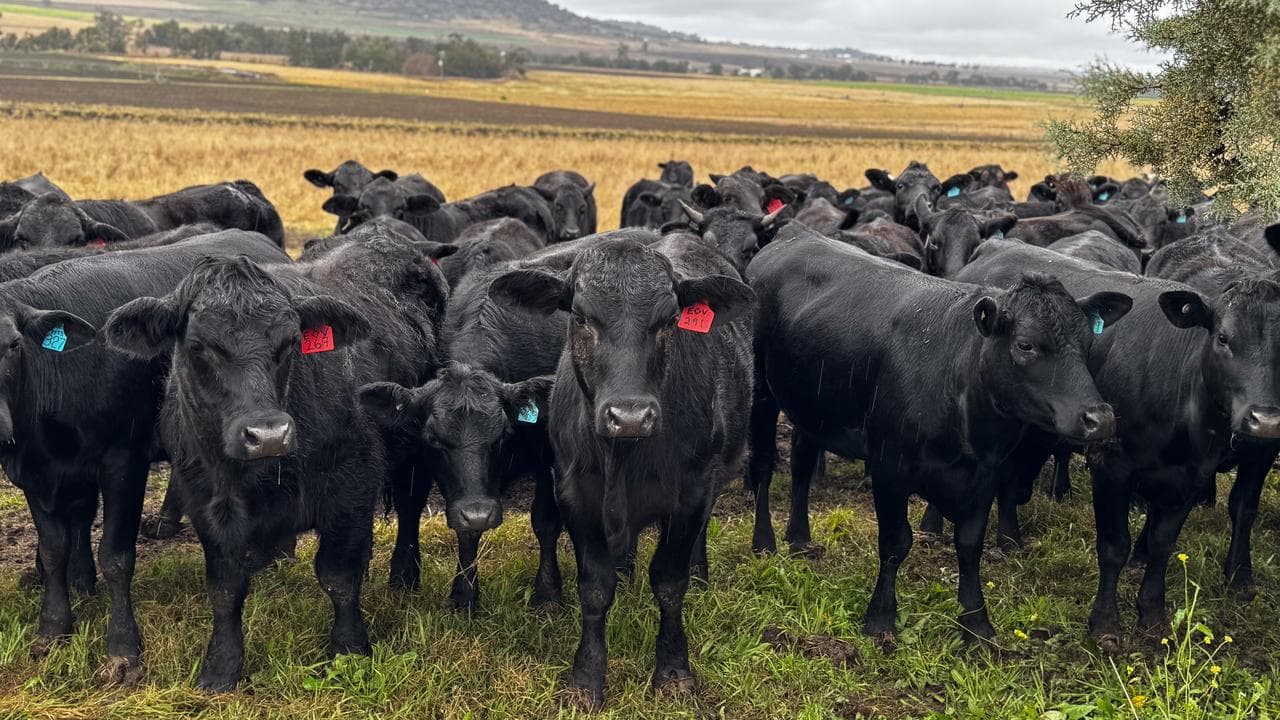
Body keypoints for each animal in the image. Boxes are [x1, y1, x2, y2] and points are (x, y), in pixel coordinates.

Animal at [0, 231, 288, 686]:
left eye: (12, 344)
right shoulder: (34, 472)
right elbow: (53, 548)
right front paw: (53, 630)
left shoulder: (123, 461)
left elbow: (116, 556)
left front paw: (122, 651)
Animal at [486, 234, 754, 710]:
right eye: (580, 316)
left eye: (670, 319)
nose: (629, 417)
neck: (623, 456)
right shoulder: (576, 494)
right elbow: (595, 588)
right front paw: (587, 678)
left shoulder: (691, 494)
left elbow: (670, 582)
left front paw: (673, 671)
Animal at [746, 224, 1129, 645]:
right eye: (1025, 345)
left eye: (1088, 344)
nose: (1101, 418)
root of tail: (796, 234)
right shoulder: (888, 467)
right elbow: (895, 542)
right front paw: (881, 618)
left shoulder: (986, 474)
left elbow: (970, 544)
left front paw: (976, 621)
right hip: (761, 393)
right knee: (763, 466)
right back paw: (764, 542)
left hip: (812, 406)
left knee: (800, 464)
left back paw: (799, 537)